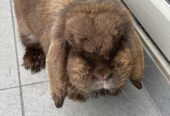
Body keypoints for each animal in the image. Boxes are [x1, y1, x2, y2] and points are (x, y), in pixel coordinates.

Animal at [14, 0, 143, 108]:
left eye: (118, 43)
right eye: (72, 46)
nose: (103, 74)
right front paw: (78, 97)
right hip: (26, 30)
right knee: (29, 44)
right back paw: (33, 62)